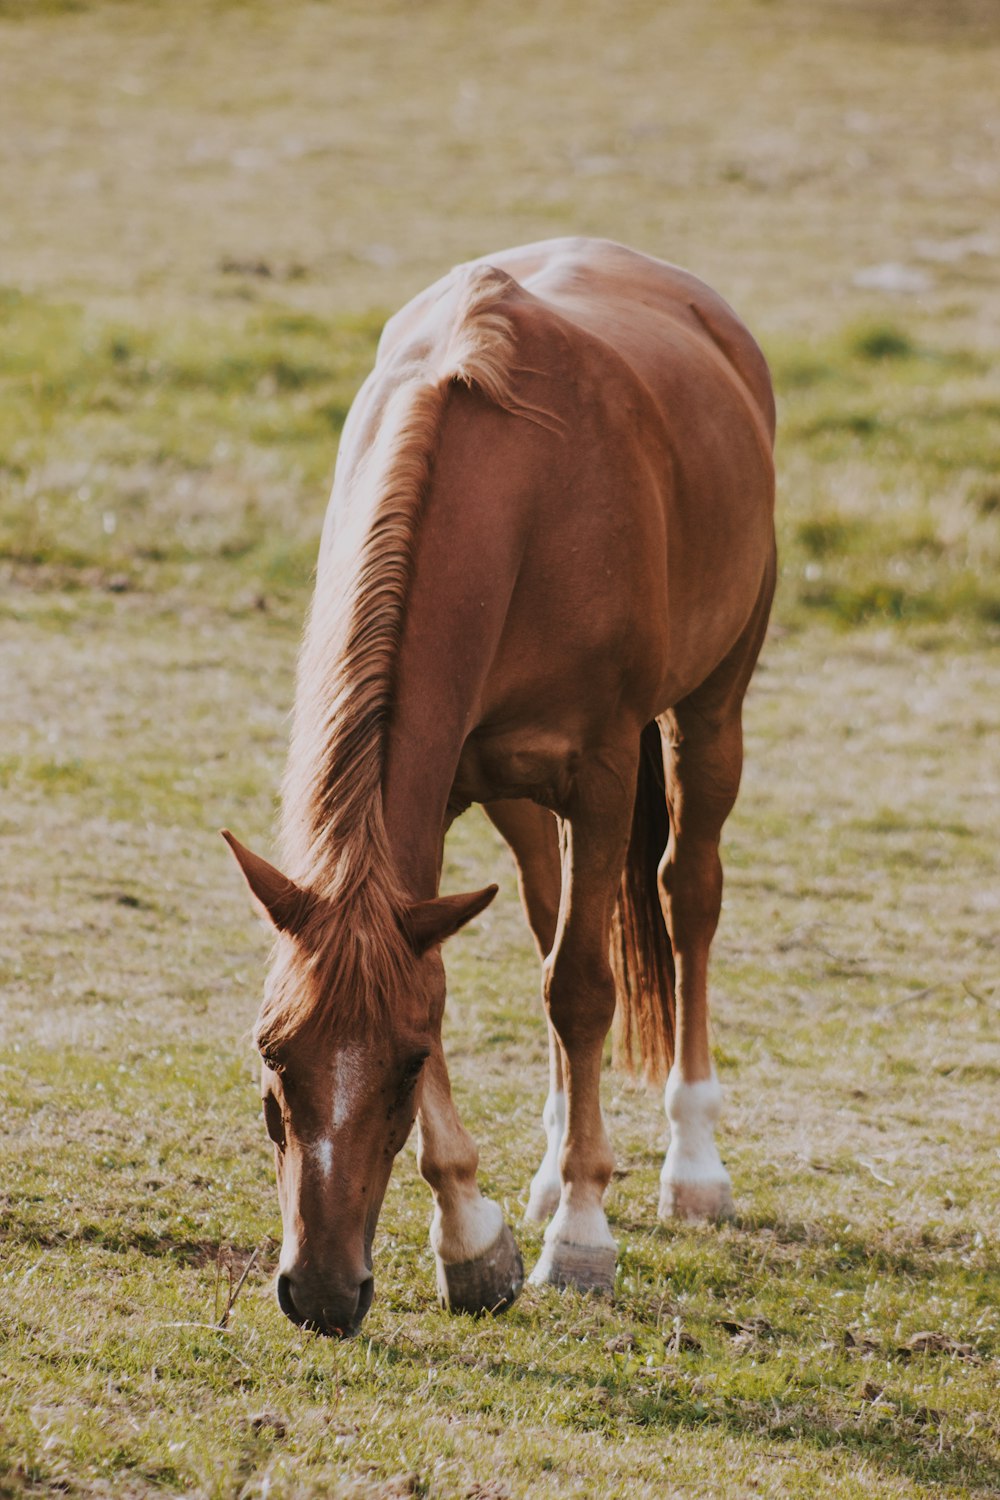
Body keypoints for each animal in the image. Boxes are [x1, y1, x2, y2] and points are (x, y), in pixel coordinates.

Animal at [223, 237, 779, 1338]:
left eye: (398, 1067)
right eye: (273, 1053)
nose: (320, 1292)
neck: (514, 496)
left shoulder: (601, 774)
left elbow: (582, 987)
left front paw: (583, 1236)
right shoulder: (437, 794)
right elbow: (488, 970)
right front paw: (473, 1237)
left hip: (709, 711)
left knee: (684, 899)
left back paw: (690, 1165)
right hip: (519, 795)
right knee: (548, 911)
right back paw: (557, 1162)